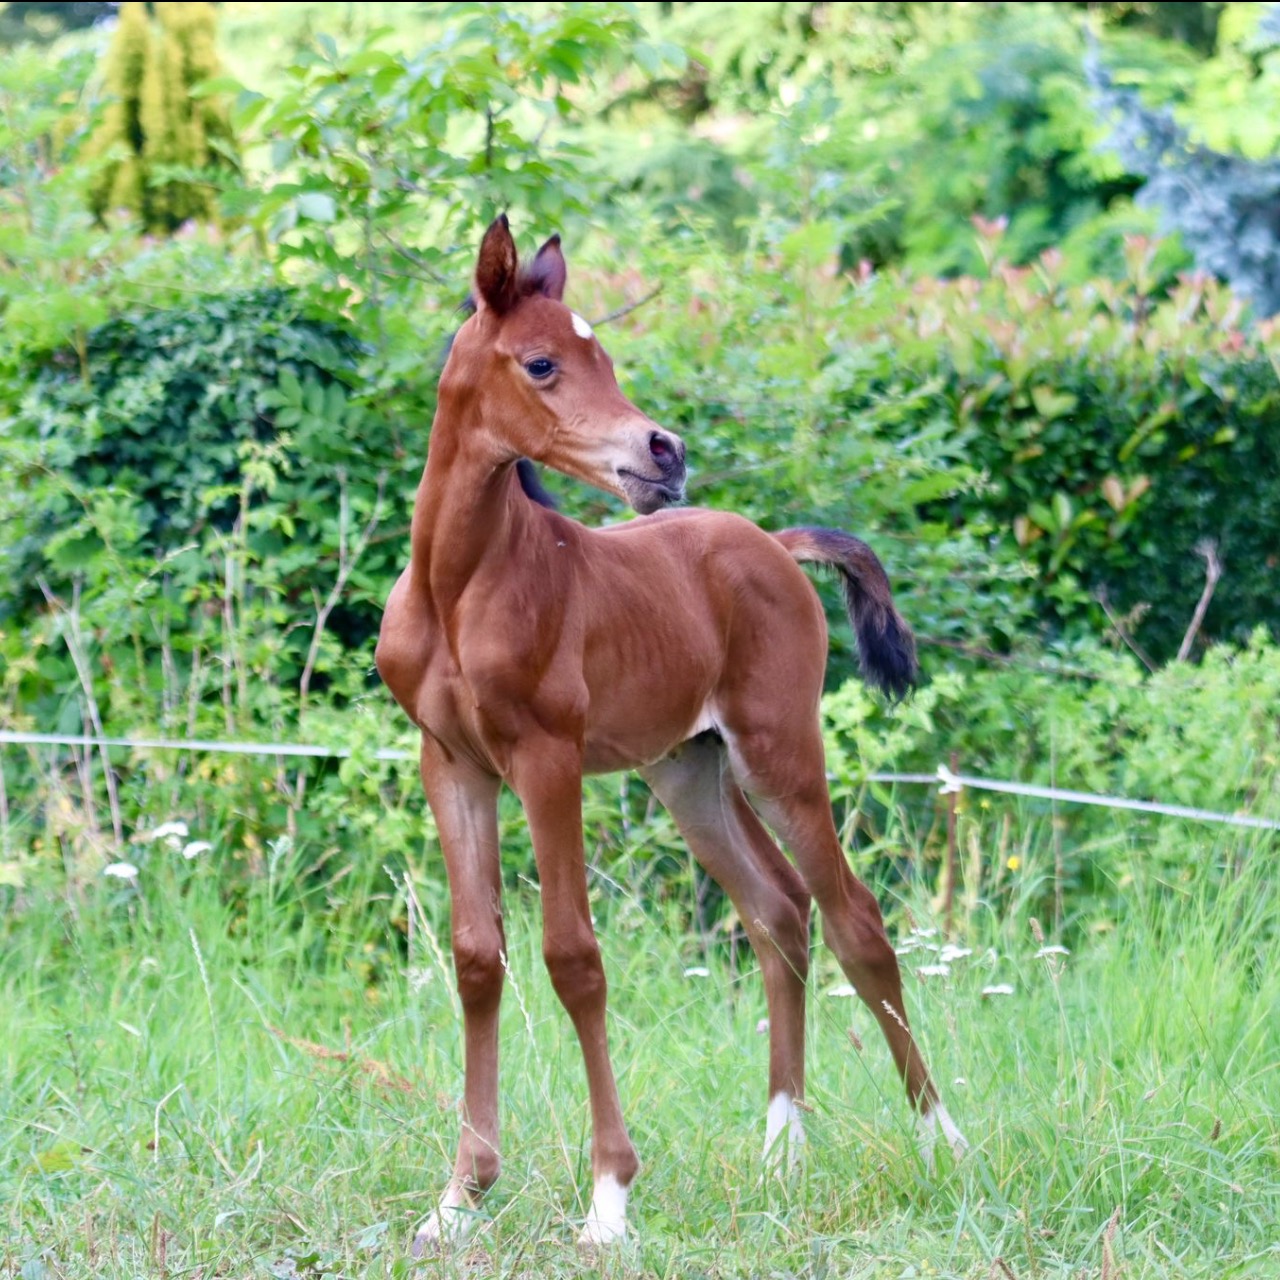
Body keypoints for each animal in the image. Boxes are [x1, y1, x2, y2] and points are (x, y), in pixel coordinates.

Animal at [373, 217, 962, 1249]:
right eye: (541, 363)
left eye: (603, 355)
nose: (666, 451)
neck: (459, 585)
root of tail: (774, 544)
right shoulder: (452, 764)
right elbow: (478, 958)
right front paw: (458, 1200)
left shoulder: (548, 759)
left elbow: (573, 958)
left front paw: (609, 1200)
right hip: (689, 772)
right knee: (778, 911)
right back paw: (781, 1150)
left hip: (778, 754)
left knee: (855, 920)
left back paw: (942, 1142)